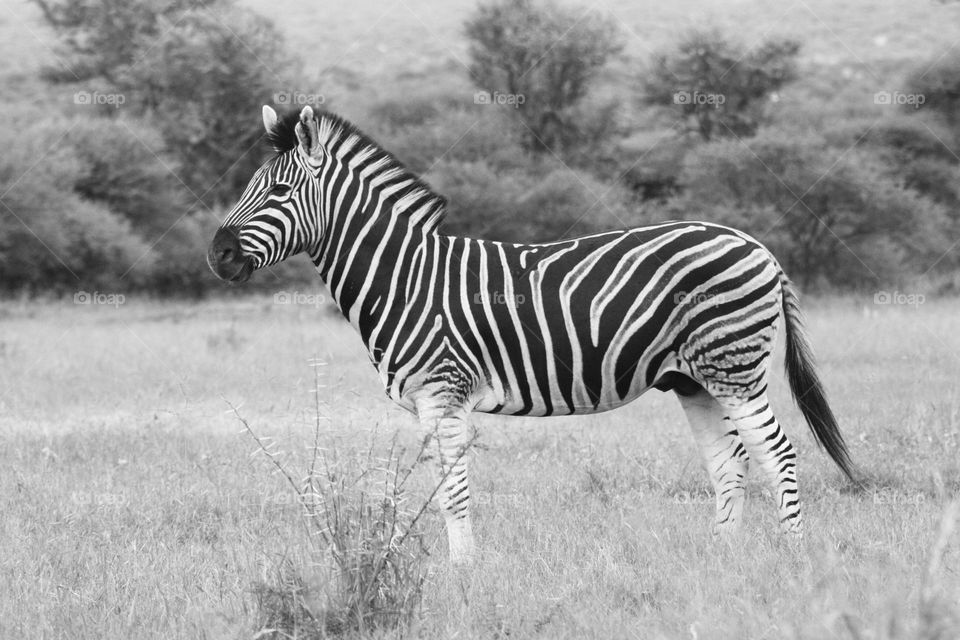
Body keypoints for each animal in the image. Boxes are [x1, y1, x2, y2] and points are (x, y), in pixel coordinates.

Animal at [208, 105, 855, 563]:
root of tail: (755, 244)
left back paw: (794, 557)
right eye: (250, 186)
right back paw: (722, 558)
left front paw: (463, 575)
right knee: (730, 462)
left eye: (279, 192)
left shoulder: (443, 392)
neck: (406, 276)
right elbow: (435, 487)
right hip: (694, 378)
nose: (216, 256)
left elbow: (453, 489)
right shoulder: (428, 401)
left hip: (734, 365)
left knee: (778, 451)